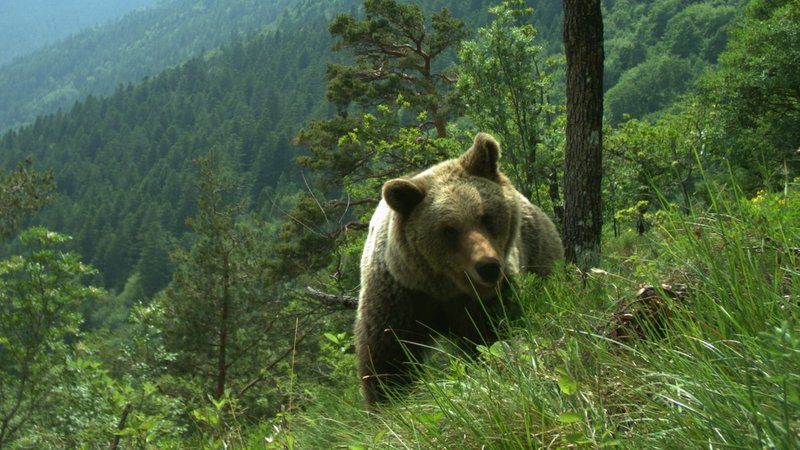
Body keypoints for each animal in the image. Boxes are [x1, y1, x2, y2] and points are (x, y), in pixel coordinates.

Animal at [354, 132, 564, 405]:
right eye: (448, 230)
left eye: (486, 216)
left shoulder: (486, 299)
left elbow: (491, 336)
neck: (444, 287)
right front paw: (388, 399)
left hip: (539, 250)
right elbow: (388, 354)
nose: (488, 267)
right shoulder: (400, 295)